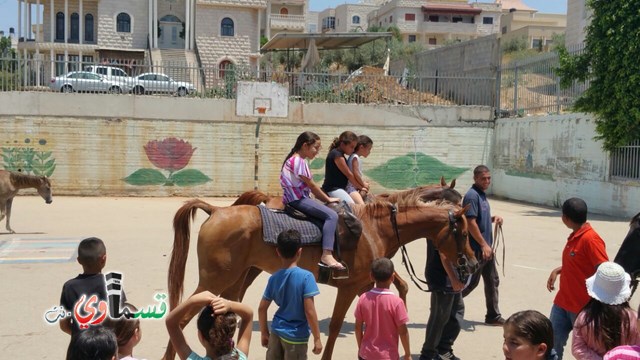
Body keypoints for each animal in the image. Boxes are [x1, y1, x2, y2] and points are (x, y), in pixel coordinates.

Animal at [165, 197, 476, 360]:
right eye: (462, 234)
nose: (471, 263)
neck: (374, 229)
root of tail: (217, 210)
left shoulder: (365, 286)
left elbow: (366, 321)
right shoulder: (348, 288)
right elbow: (337, 327)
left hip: (232, 282)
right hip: (213, 282)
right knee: (180, 318)